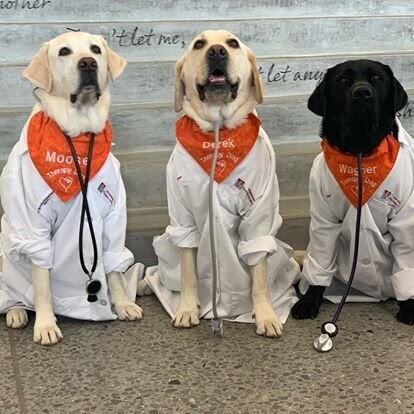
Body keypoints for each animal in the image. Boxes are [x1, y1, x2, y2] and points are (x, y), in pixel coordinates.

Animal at [0, 32, 142, 344]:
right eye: (64, 51)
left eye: (95, 49)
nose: (87, 63)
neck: (78, 134)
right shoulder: (34, 227)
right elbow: (42, 283)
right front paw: (45, 324)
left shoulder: (112, 218)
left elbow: (114, 269)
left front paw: (123, 303)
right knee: (11, 292)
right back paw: (16, 311)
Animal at [144, 31, 300, 336]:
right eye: (199, 44)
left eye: (233, 43)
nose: (216, 51)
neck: (217, 133)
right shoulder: (183, 219)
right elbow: (188, 273)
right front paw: (187, 309)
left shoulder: (257, 217)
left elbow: (259, 276)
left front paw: (265, 315)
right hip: (166, 246)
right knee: (158, 273)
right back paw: (145, 284)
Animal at [292, 59, 414, 324]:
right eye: (343, 80)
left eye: (377, 78)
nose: (362, 93)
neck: (360, 152)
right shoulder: (324, 221)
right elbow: (320, 261)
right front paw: (309, 300)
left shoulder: (406, 221)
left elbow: (406, 264)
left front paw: (409, 306)